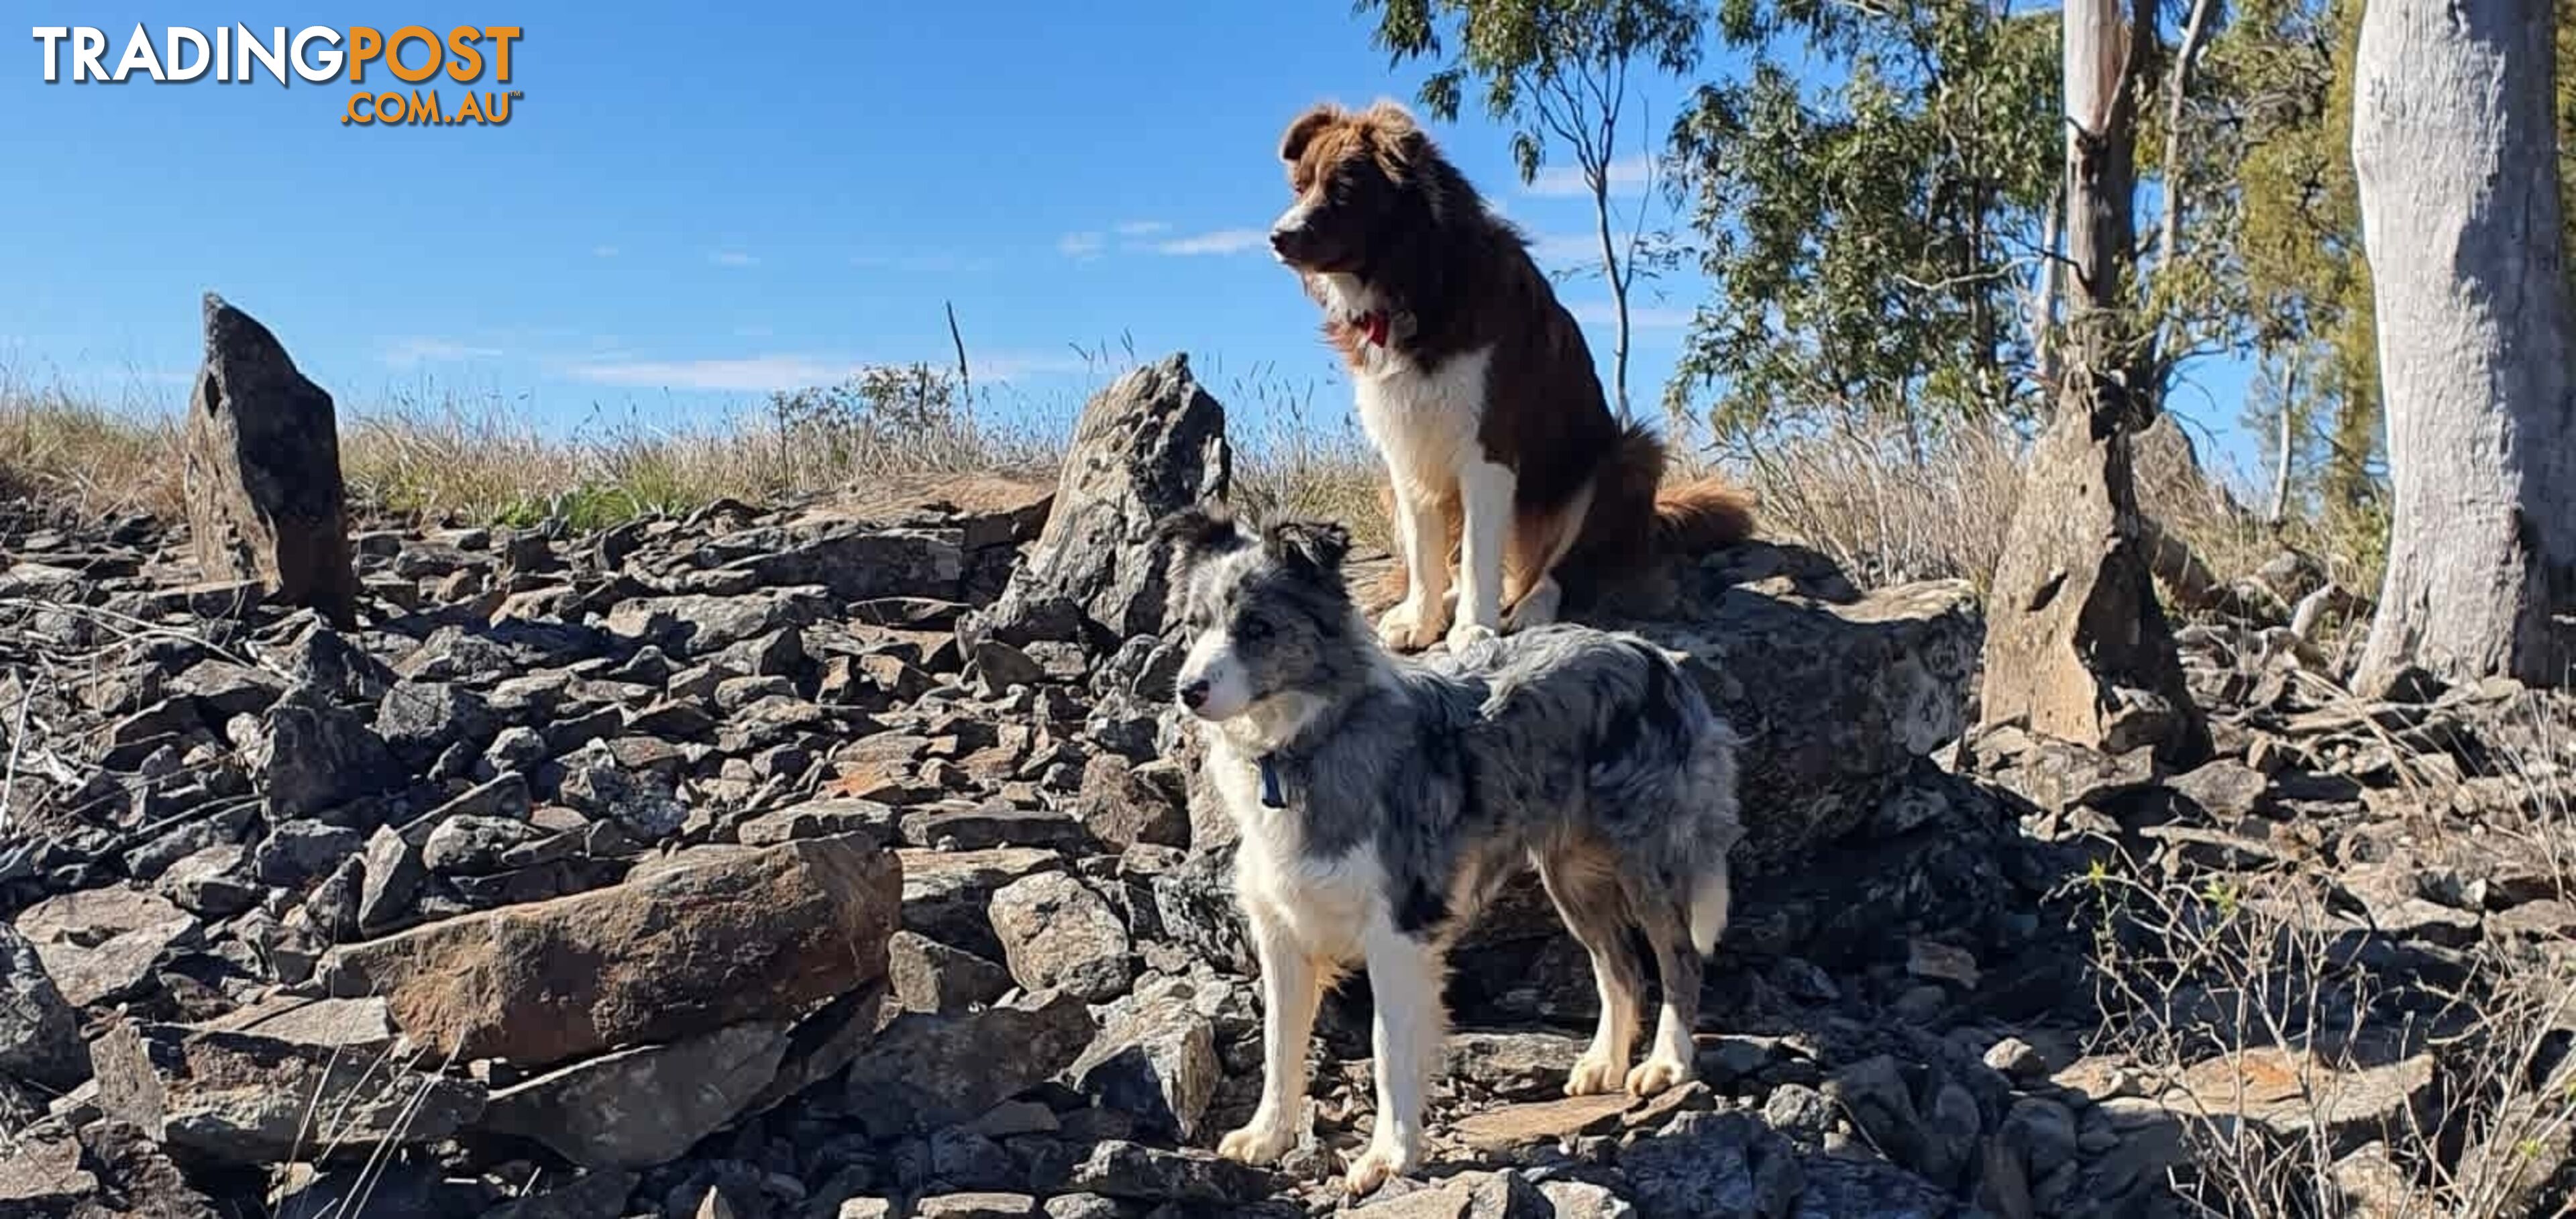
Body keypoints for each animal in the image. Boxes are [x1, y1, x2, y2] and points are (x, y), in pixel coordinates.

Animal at [1267, 99, 1752, 651]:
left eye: (1344, 188)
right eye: (1300, 186)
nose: (1277, 238)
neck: (1416, 281)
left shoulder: (1488, 445)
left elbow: (1481, 552)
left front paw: (1474, 628)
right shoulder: (1407, 445)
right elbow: (1427, 552)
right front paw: (1421, 618)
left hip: (1626, 457)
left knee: (1556, 570)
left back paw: (1527, 607)